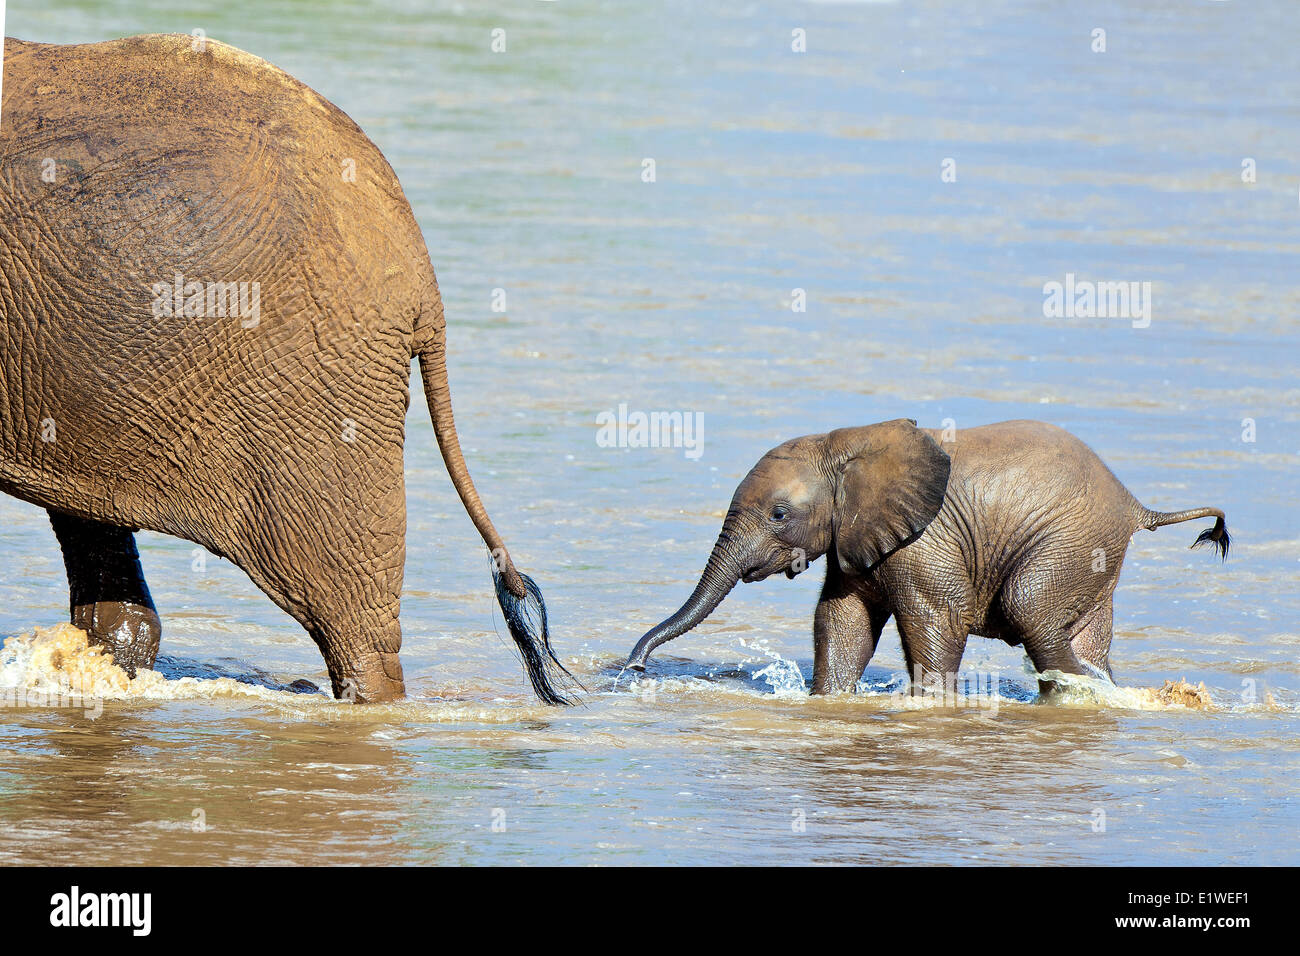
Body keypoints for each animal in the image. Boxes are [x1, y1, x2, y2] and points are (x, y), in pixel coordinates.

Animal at [629, 418, 1227, 697]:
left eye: (779, 514)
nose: (635, 667)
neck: (844, 444)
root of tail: (1133, 503)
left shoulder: (924, 541)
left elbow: (938, 618)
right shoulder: (855, 539)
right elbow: (842, 624)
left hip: (1071, 539)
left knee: (1030, 609)